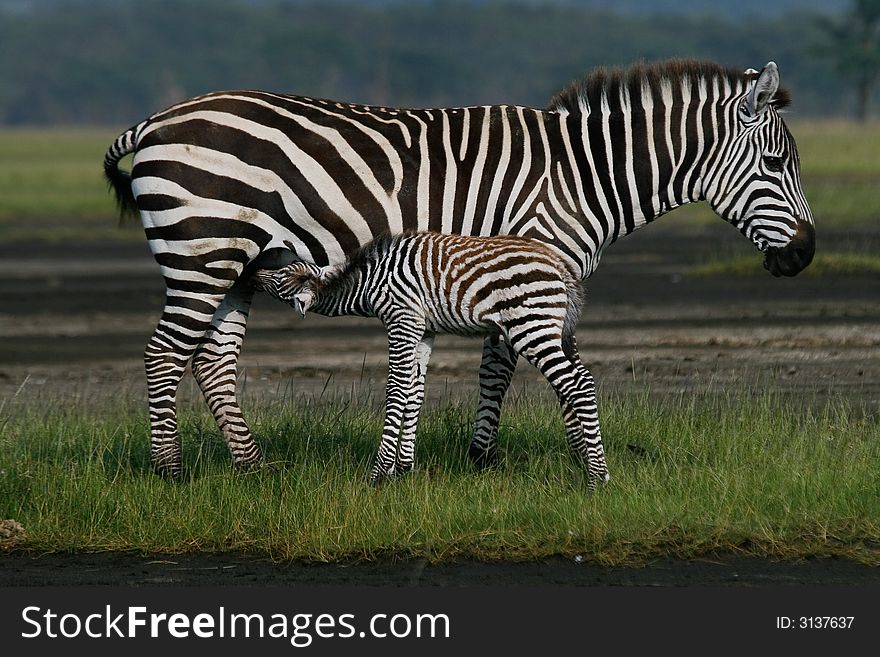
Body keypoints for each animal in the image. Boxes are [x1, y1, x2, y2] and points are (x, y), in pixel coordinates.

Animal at [253, 233, 612, 484]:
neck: (368, 282)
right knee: (584, 380)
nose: (250, 272)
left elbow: (396, 391)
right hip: (552, 328)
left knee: (576, 385)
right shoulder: (422, 330)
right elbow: (414, 392)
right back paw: (598, 469)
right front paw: (402, 469)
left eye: (278, 278)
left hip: (531, 326)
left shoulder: (401, 319)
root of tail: (559, 266)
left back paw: (597, 478)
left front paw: (378, 474)